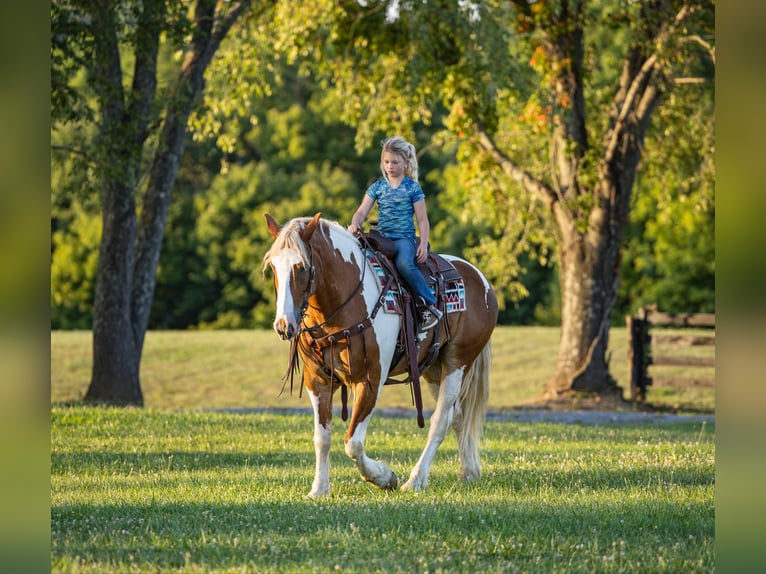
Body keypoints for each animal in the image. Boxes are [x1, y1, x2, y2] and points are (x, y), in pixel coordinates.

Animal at [264, 214, 500, 498]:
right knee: (459, 416)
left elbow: (353, 443)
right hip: (435, 369)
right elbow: (322, 438)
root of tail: (481, 280)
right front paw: (319, 489)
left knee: (440, 421)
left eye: (300, 267)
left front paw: (384, 477)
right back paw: (469, 472)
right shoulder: (317, 382)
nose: (283, 326)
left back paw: (416, 479)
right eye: (273, 267)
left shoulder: (370, 380)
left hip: (457, 363)